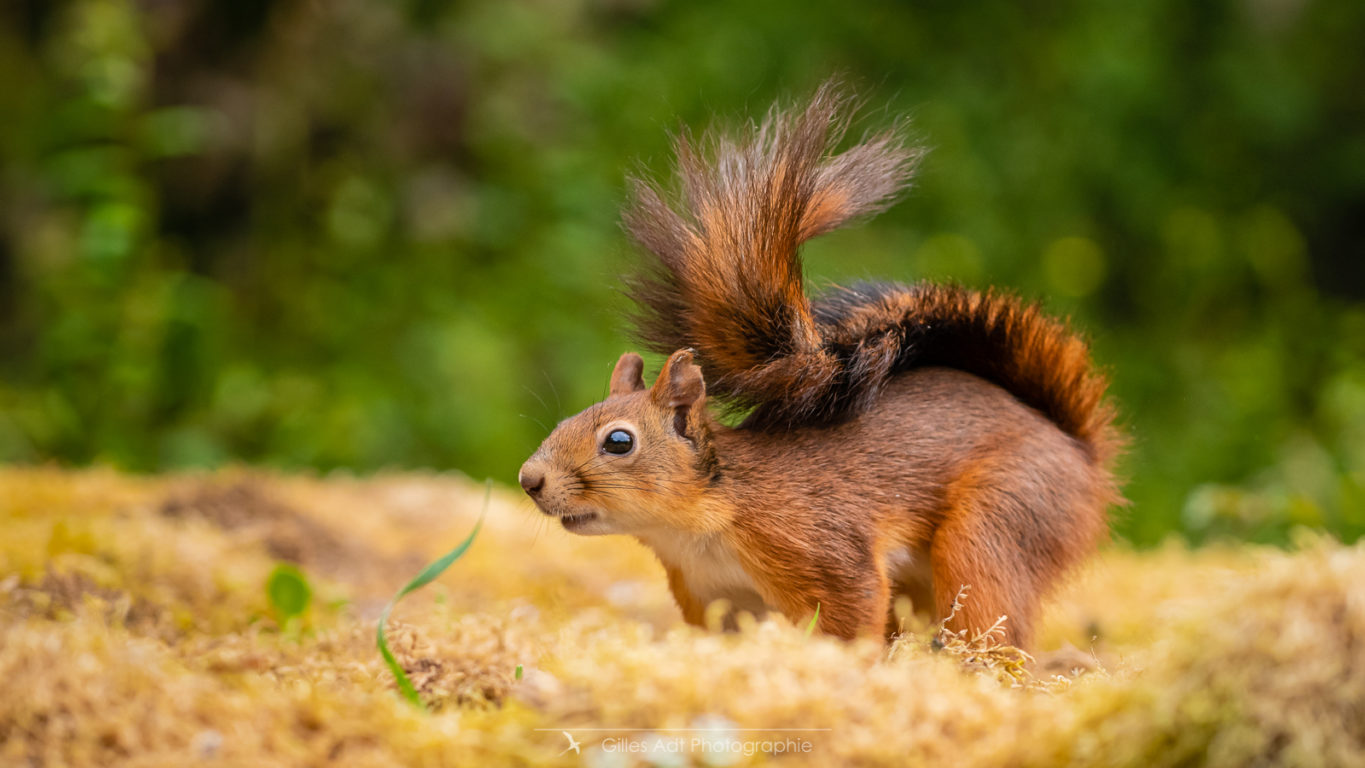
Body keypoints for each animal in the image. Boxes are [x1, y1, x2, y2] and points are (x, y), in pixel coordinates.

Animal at [515, 84, 1124, 649]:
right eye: (569, 418)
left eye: (619, 442)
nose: (528, 479)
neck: (705, 517)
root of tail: (1079, 454)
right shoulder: (716, 596)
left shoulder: (821, 548)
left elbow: (852, 615)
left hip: (1001, 519)